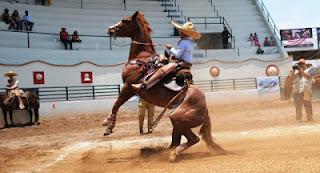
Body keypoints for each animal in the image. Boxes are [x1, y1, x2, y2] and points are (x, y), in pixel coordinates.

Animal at [104, 11, 224, 162]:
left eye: (125, 21)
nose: (110, 29)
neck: (141, 58)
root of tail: (205, 109)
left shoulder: (129, 87)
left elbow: (116, 104)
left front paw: (109, 127)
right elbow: (116, 104)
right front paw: (106, 122)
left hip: (178, 118)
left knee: (193, 139)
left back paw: (172, 154)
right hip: (177, 123)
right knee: (176, 141)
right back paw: (167, 151)